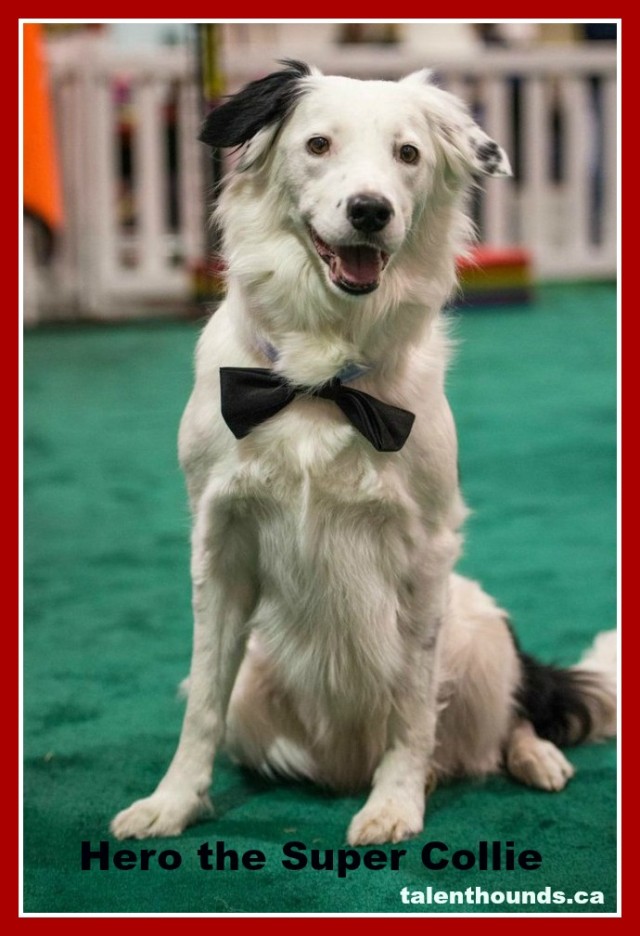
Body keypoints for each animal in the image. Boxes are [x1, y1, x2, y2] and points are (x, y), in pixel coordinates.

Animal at [112, 62, 616, 844]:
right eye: (318, 144)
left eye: (408, 154)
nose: (371, 210)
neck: (320, 379)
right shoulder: (219, 543)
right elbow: (202, 704)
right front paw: (172, 801)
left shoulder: (424, 552)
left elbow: (412, 705)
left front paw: (395, 803)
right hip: (259, 689)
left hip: (478, 630)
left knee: (503, 719)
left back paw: (531, 759)